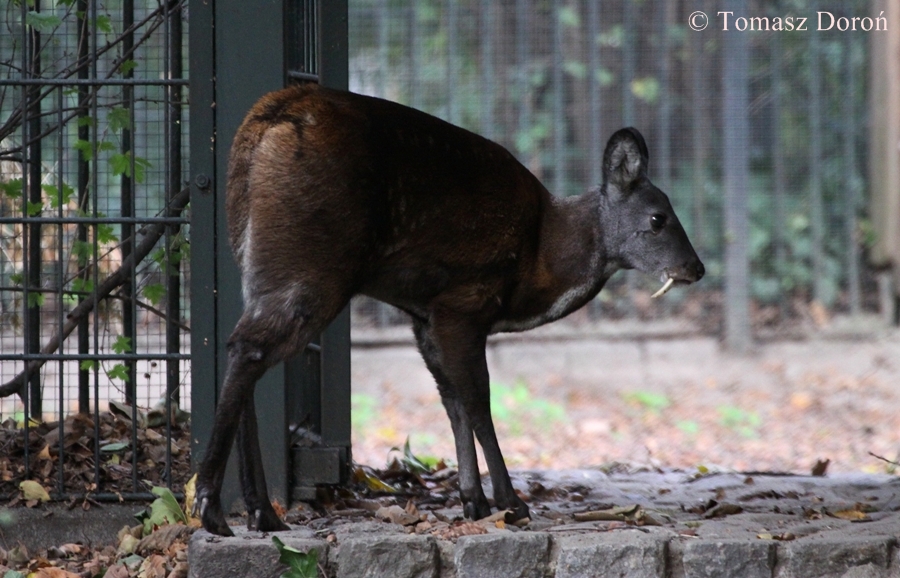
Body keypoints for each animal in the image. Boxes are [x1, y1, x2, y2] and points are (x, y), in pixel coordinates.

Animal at [194, 83, 704, 536]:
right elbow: (478, 399)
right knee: (248, 347)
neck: (540, 257)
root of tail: (263, 124)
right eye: (658, 218)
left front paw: (473, 501)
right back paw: (214, 509)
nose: (695, 268)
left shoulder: (425, 316)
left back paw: (262, 512)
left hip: (257, 261)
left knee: (242, 349)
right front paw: (510, 503)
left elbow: (452, 400)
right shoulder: (464, 301)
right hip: (311, 261)